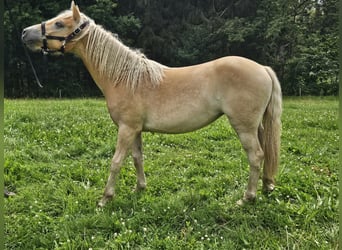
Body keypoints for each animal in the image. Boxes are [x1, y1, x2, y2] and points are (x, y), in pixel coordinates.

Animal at [22, 1, 284, 207]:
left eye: (59, 24)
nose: (25, 33)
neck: (125, 78)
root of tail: (262, 68)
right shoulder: (135, 129)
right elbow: (137, 158)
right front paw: (140, 188)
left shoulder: (126, 129)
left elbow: (116, 162)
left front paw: (106, 198)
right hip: (257, 126)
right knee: (265, 152)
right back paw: (266, 186)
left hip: (244, 127)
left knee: (256, 156)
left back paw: (247, 197)